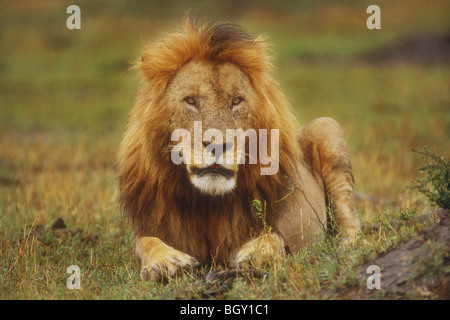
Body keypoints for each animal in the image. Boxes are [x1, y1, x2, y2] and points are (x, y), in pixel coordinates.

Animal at [118, 15, 362, 282]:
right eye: (191, 101)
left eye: (236, 101)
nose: (217, 145)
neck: (207, 204)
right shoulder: (150, 224)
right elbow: (145, 243)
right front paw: (166, 262)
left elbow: (274, 236)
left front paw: (254, 254)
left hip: (328, 127)